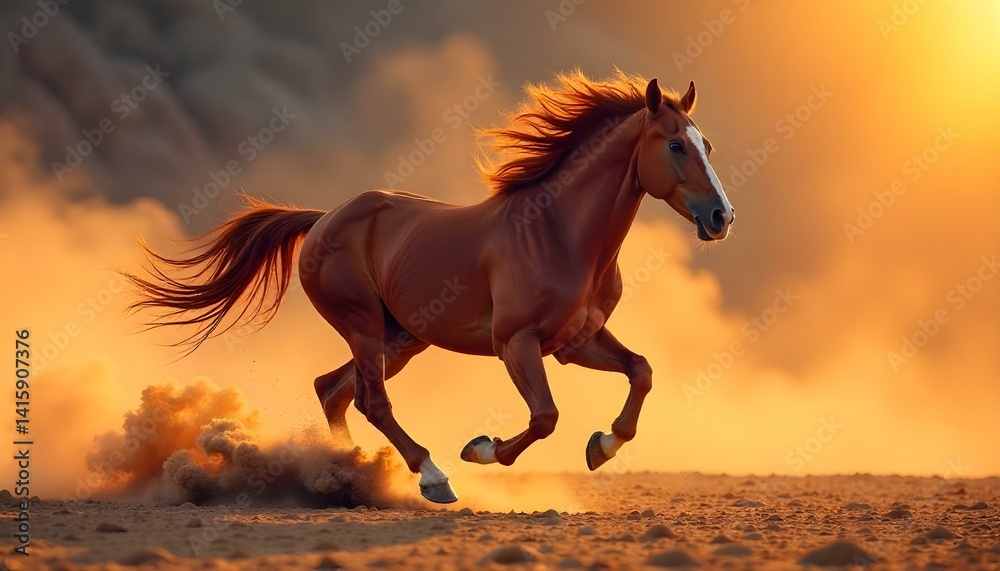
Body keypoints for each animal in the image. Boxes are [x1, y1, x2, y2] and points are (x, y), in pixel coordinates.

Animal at [122, 71, 735, 504]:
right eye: (676, 145)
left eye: (707, 143)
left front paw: (602, 446)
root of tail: (324, 219)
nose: (721, 216)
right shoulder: (516, 343)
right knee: (370, 399)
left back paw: (346, 474)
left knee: (333, 390)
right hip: (365, 327)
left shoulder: (574, 341)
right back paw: (432, 478)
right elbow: (545, 417)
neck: (559, 231)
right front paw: (481, 449)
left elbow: (641, 371)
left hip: (401, 339)